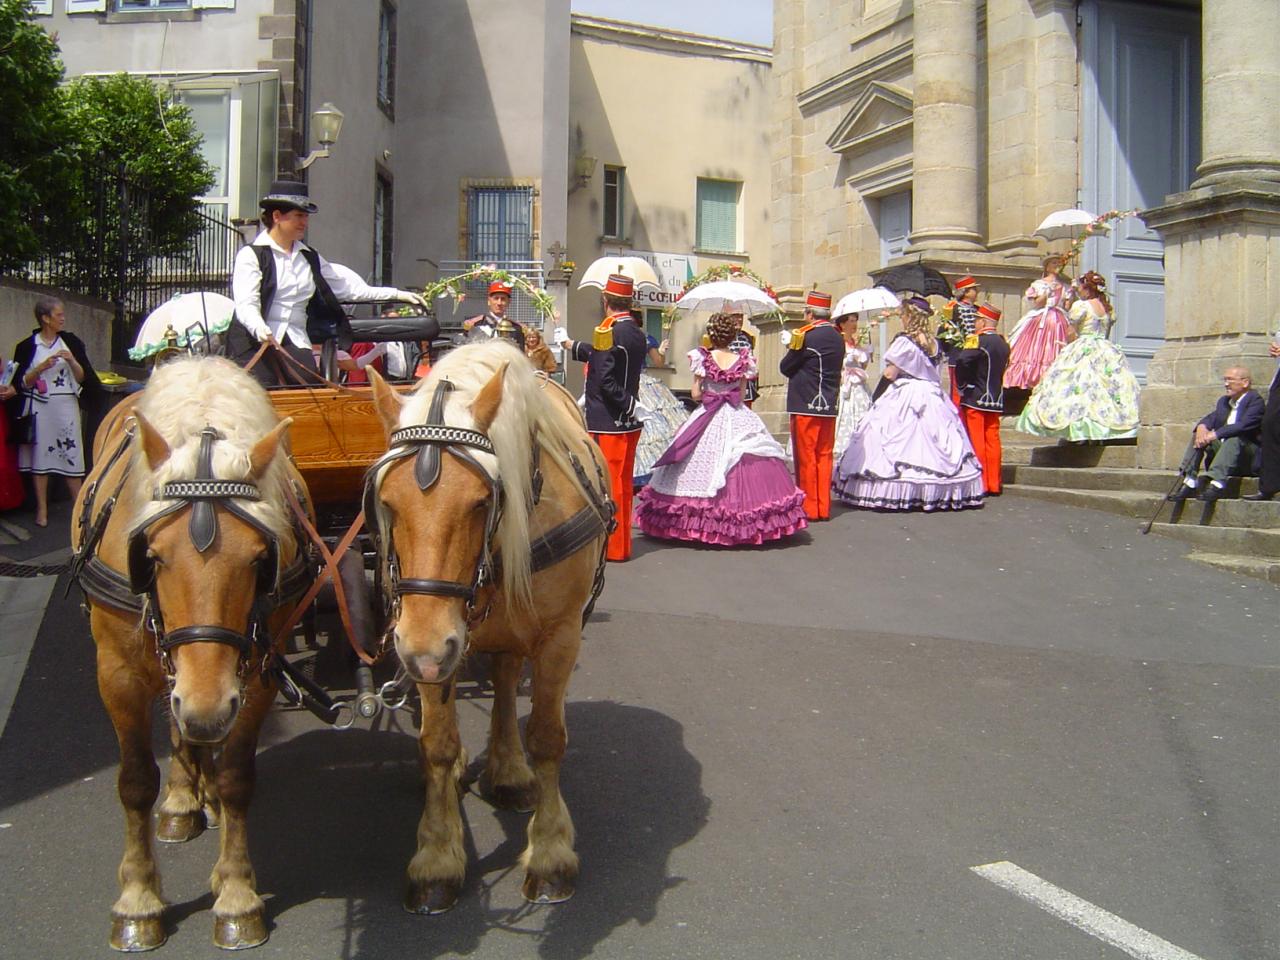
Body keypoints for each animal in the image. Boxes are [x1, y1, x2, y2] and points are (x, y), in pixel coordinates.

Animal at [71, 360, 308, 957]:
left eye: (259, 560)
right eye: (152, 556)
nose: (207, 706)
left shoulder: (253, 677)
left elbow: (237, 777)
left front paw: (237, 894)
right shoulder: (118, 674)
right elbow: (134, 781)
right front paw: (137, 900)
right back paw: (182, 799)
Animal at [368, 343, 611, 911]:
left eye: (481, 502)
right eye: (387, 503)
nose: (422, 652)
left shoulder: (559, 636)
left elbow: (547, 737)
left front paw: (550, 854)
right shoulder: (431, 639)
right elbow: (436, 743)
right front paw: (437, 858)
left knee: (503, 684)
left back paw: (510, 772)